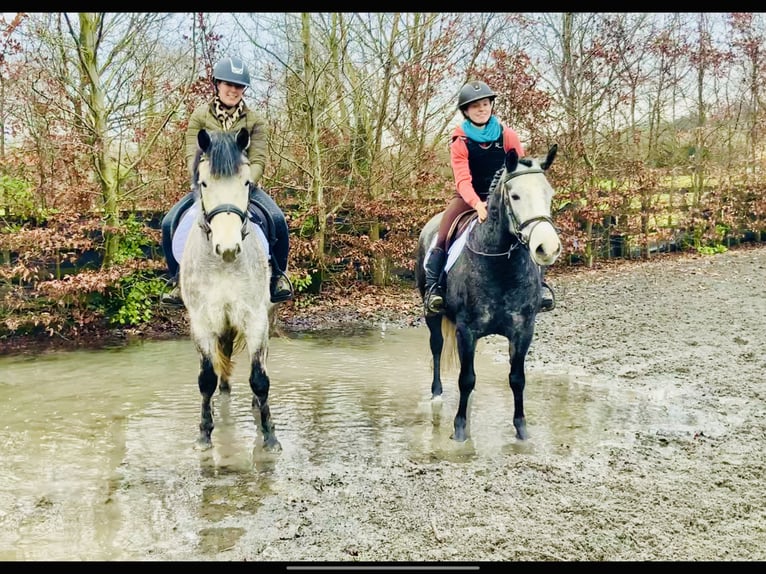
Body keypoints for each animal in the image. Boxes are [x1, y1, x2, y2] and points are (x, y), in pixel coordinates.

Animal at [182, 128, 280, 452]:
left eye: (246, 182)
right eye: (204, 183)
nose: (227, 248)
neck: (222, 266)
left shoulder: (256, 319)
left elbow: (260, 378)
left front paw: (270, 436)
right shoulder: (201, 321)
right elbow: (206, 378)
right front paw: (204, 433)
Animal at [416, 145, 560, 446]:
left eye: (549, 194)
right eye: (515, 196)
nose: (547, 247)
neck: (500, 264)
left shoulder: (523, 330)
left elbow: (517, 379)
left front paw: (521, 429)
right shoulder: (466, 330)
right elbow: (466, 379)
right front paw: (459, 430)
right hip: (432, 315)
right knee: (436, 347)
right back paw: (436, 395)